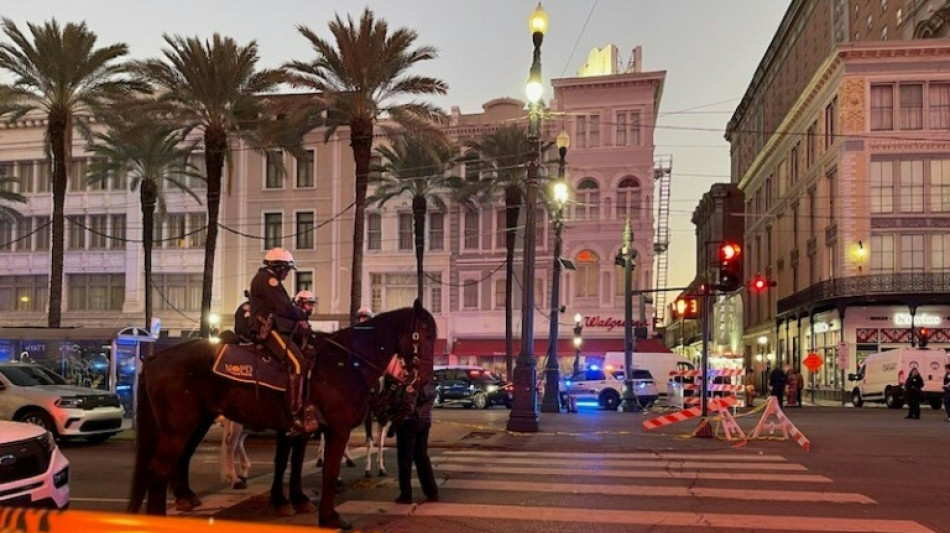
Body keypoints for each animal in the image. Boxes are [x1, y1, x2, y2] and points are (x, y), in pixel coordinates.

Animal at [128, 300, 436, 528]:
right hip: (180, 427)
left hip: (194, 422)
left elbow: (293, 463)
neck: (348, 362)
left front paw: (293, 500)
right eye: (425, 334)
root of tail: (154, 357)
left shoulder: (302, 428)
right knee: (162, 468)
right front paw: (329, 516)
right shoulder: (337, 429)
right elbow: (327, 469)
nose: (423, 381)